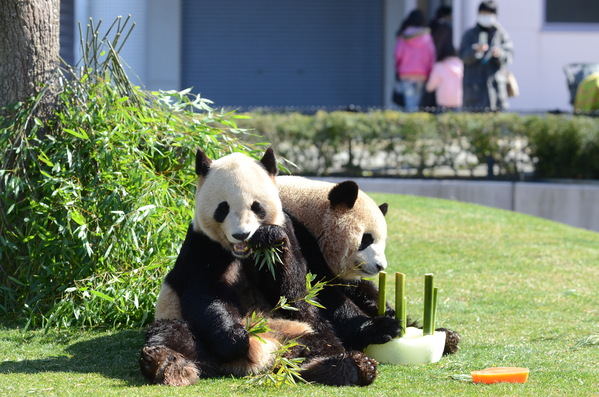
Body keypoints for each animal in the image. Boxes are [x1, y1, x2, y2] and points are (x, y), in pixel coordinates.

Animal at [139, 147, 380, 386]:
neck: (243, 253)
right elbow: (204, 293)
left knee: (323, 343)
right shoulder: (201, 243)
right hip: (178, 317)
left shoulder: (289, 230)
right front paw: (236, 339)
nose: (241, 234)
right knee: (175, 334)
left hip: (300, 329)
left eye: (257, 207)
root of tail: (267, 352)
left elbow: (293, 292)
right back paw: (164, 363)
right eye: (223, 208)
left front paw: (270, 238)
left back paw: (350, 366)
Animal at [278, 175, 462, 354]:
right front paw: (382, 327)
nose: (381, 266)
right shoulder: (300, 238)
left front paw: (391, 313)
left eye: (383, 242)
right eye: (367, 239)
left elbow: (360, 288)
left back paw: (448, 337)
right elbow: (322, 295)